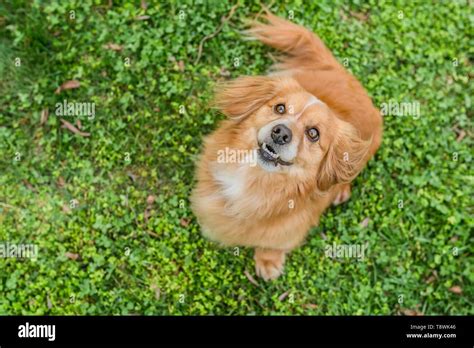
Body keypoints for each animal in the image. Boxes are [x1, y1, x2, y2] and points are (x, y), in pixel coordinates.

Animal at [191, 12, 384, 282]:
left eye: (313, 134)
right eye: (280, 108)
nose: (281, 132)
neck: (255, 179)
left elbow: (274, 243)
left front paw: (268, 261)